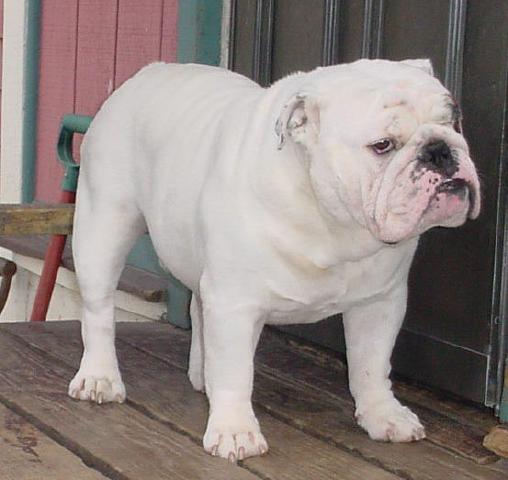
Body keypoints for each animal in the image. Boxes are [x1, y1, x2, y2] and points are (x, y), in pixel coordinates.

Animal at [68, 59, 480, 462]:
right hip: (103, 226)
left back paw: (202, 374)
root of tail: (148, 71)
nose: (440, 150)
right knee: (99, 310)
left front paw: (383, 415)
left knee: (200, 308)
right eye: (382, 145)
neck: (331, 223)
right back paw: (100, 377)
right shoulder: (235, 304)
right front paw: (235, 430)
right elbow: (236, 372)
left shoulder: (380, 301)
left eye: (453, 121)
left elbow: (372, 363)